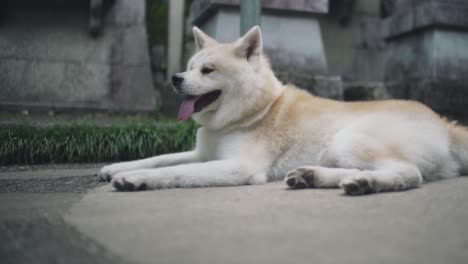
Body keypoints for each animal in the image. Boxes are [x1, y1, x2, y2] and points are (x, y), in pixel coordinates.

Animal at [97, 25, 466, 195]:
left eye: (208, 70)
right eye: (189, 68)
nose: (175, 79)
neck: (251, 111)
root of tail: (444, 122)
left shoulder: (239, 167)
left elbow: (173, 171)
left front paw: (135, 179)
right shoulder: (203, 153)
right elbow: (160, 158)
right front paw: (116, 166)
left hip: (347, 140)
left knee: (408, 173)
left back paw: (365, 183)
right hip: (338, 149)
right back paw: (313, 176)